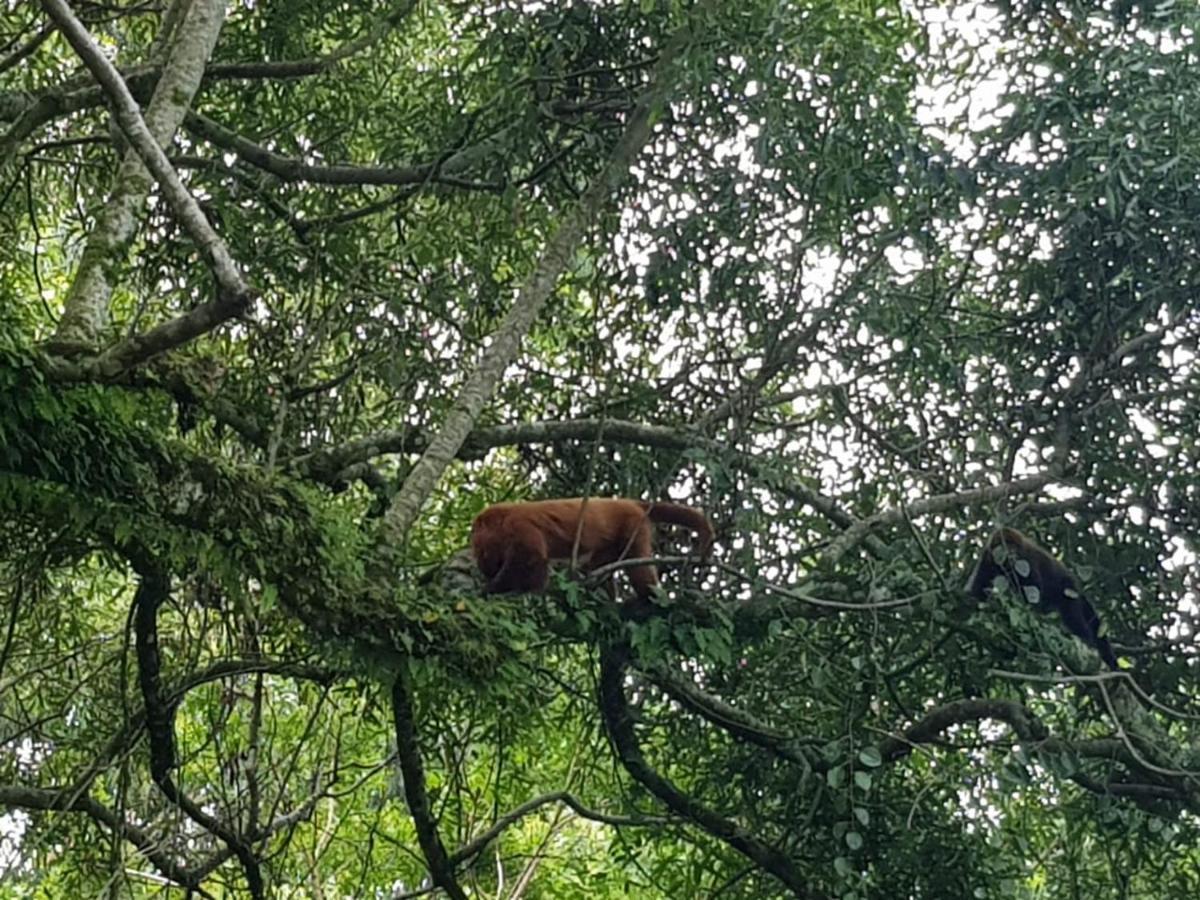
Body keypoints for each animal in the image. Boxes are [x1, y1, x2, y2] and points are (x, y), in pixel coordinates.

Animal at [468, 496, 710, 619]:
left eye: (480, 546)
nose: (481, 560)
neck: (503, 518)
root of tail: (630, 503)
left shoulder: (518, 526)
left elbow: (532, 557)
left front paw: (492, 589)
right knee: (597, 564)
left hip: (633, 524)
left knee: (637, 565)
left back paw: (649, 598)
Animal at [960, 528, 1118, 672]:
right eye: (1003, 547)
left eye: (1013, 547)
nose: (1011, 553)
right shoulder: (986, 559)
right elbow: (978, 589)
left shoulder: (1026, 560)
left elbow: (1033, 592)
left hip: (1068, 590)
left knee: (1073, 617)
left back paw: (1086, 641)